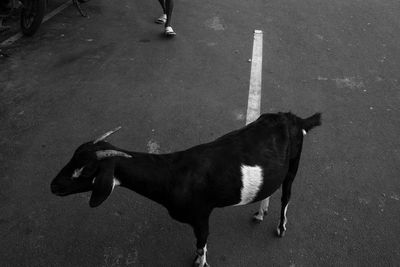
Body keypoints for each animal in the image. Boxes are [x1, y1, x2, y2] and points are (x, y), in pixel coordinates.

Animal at [50, 112, 322, 266]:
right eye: (73, 156)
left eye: (86, 170)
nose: (53, 186)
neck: (173, 174)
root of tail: (295, 119)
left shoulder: (201, 215)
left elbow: (201, 243)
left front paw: (200, 263)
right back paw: (260, 212)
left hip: (293, 164)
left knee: (286, 194)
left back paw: (280, 227)